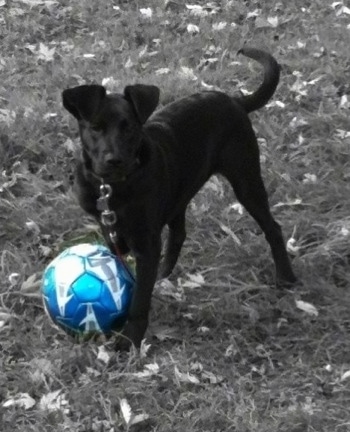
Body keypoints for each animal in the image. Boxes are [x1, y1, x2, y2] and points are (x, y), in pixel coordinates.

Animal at [62, 47, 296, 350]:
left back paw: (286, 278)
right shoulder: (109, 229)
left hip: (246, 179)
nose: (115, 160)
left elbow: (139, 297)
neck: (111, 187)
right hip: (181, 191)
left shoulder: (146, 242)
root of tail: (234, 100)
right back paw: (164, 276)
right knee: (179, 234)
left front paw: (130, 337)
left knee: (273, 228)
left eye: (130, 128)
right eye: (96, 128)